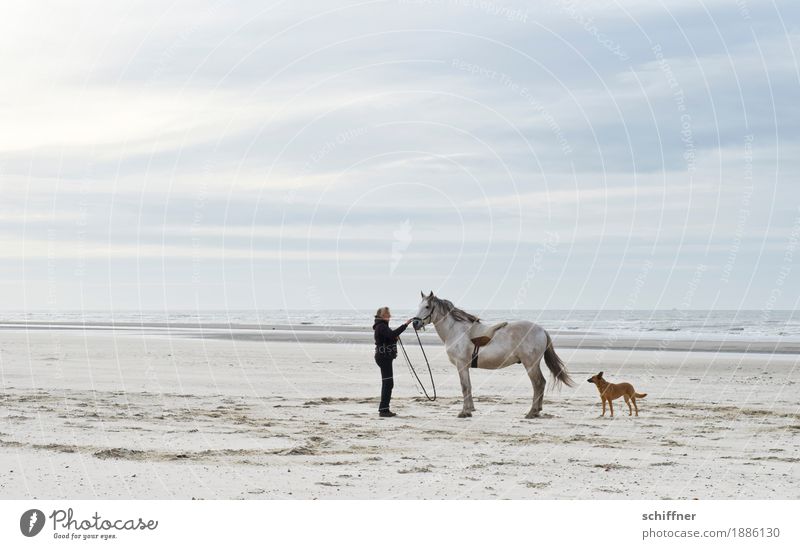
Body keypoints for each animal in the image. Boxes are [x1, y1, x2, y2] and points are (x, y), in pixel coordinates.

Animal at [412, 292, 576, 416]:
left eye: (427, 306)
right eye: (418, 306)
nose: (415, 323)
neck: (456, 330)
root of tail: (541, 329)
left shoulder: (461, 365)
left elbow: (464, 386)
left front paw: (464, 412)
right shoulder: (465, 367)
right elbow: (469, 386)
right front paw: (470, 409)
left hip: (531, 364)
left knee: (538, 383)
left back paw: (532, 412)